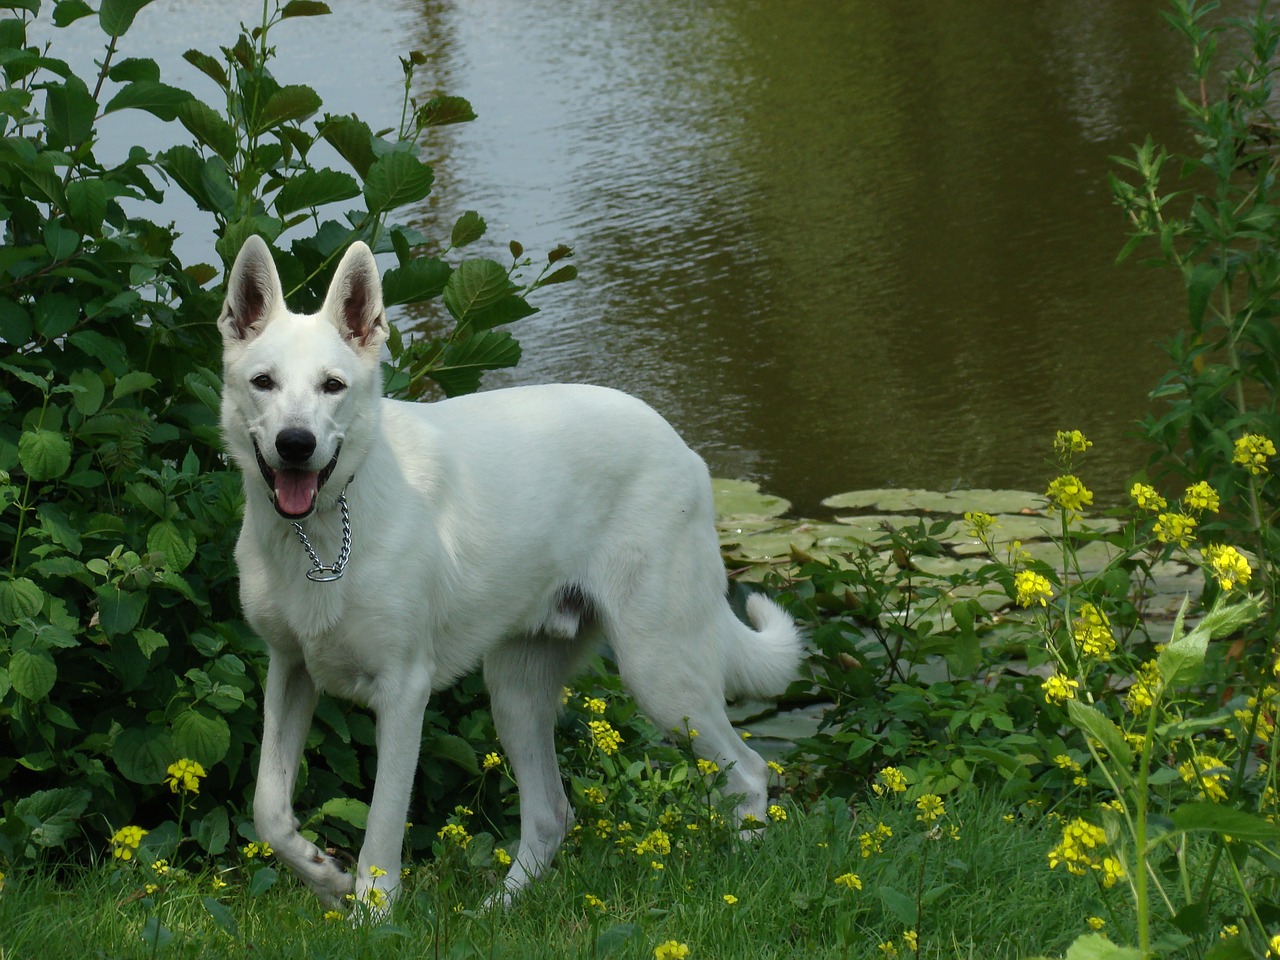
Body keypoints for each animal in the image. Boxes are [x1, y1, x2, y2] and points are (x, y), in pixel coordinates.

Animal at [218, 236, 798, 911]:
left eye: (332, 386)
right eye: (263, 382)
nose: (295, 444)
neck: (323, 534)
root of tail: (683, 448)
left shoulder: (403, 692)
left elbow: (382, 834)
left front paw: (369, 914)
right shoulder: (289, 670)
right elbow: (269, 810)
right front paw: (323, 874)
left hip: (661, 672)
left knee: (749, 774)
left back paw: (746, 879)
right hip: (517, 691)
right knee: (551, 814)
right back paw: (494, 911)